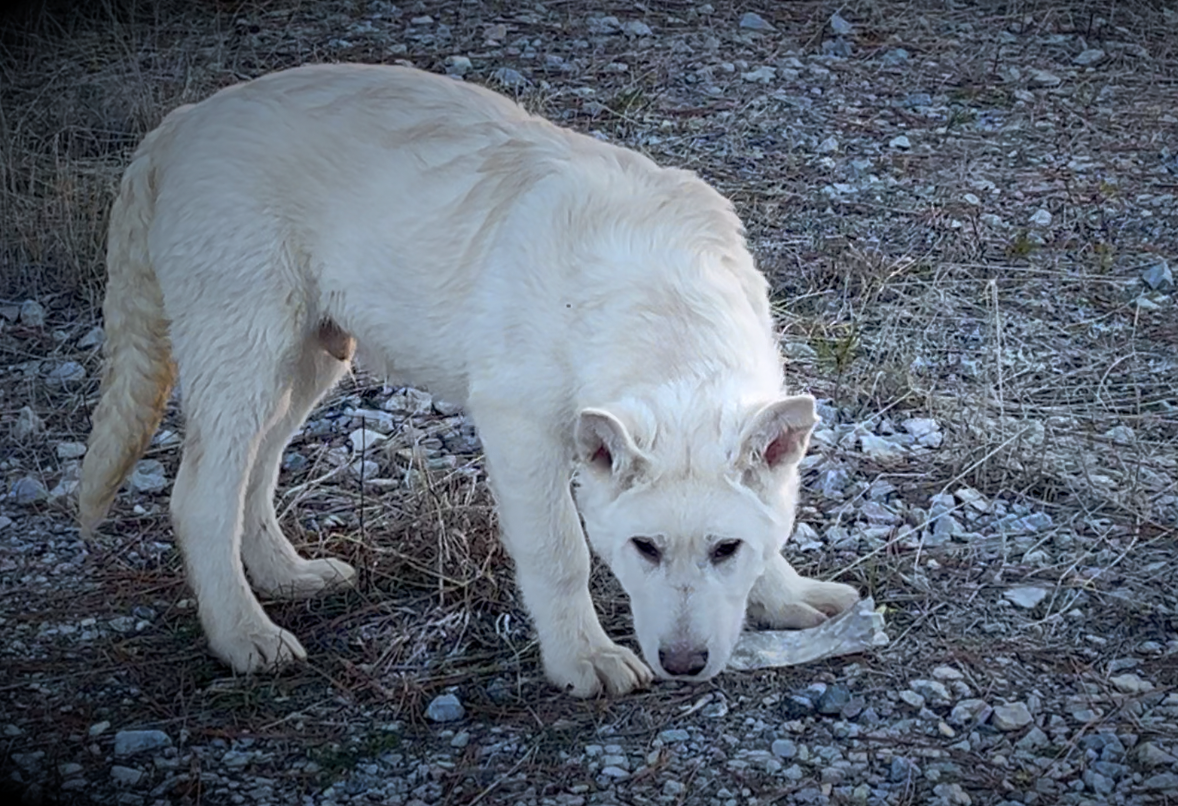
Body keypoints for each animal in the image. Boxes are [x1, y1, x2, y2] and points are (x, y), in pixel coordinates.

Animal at [80, 64, 857, 692]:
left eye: (726, 549)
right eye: (645, 548)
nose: (684, 666)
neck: (665, 306)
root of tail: (181, 124)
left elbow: (772, 528)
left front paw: (787, 597)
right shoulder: (519, 427)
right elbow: (559, 552)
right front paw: (582, 660)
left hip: (307, 360)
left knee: (254, 472)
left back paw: (286, 576)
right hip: (245, 346)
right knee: (201, 497)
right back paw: (243, 635)